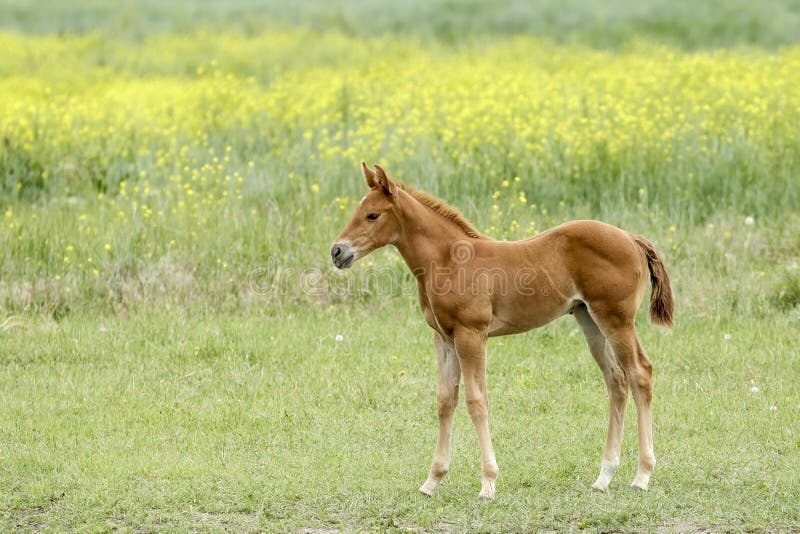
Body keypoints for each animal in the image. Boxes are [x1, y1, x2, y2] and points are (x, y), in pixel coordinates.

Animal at [332, 164, 676, 502]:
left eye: (372, 215)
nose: (337, 251)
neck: (447, 259)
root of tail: (631, 238)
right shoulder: (444, 337)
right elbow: (445, 400)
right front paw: (433, 480)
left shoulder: (471, 334)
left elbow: (476, 401)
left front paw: (488, 483)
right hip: (589, 319)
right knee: (616, 381)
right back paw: (604, 478)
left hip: (616, 320)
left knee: (640, 373)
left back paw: (642, 476)